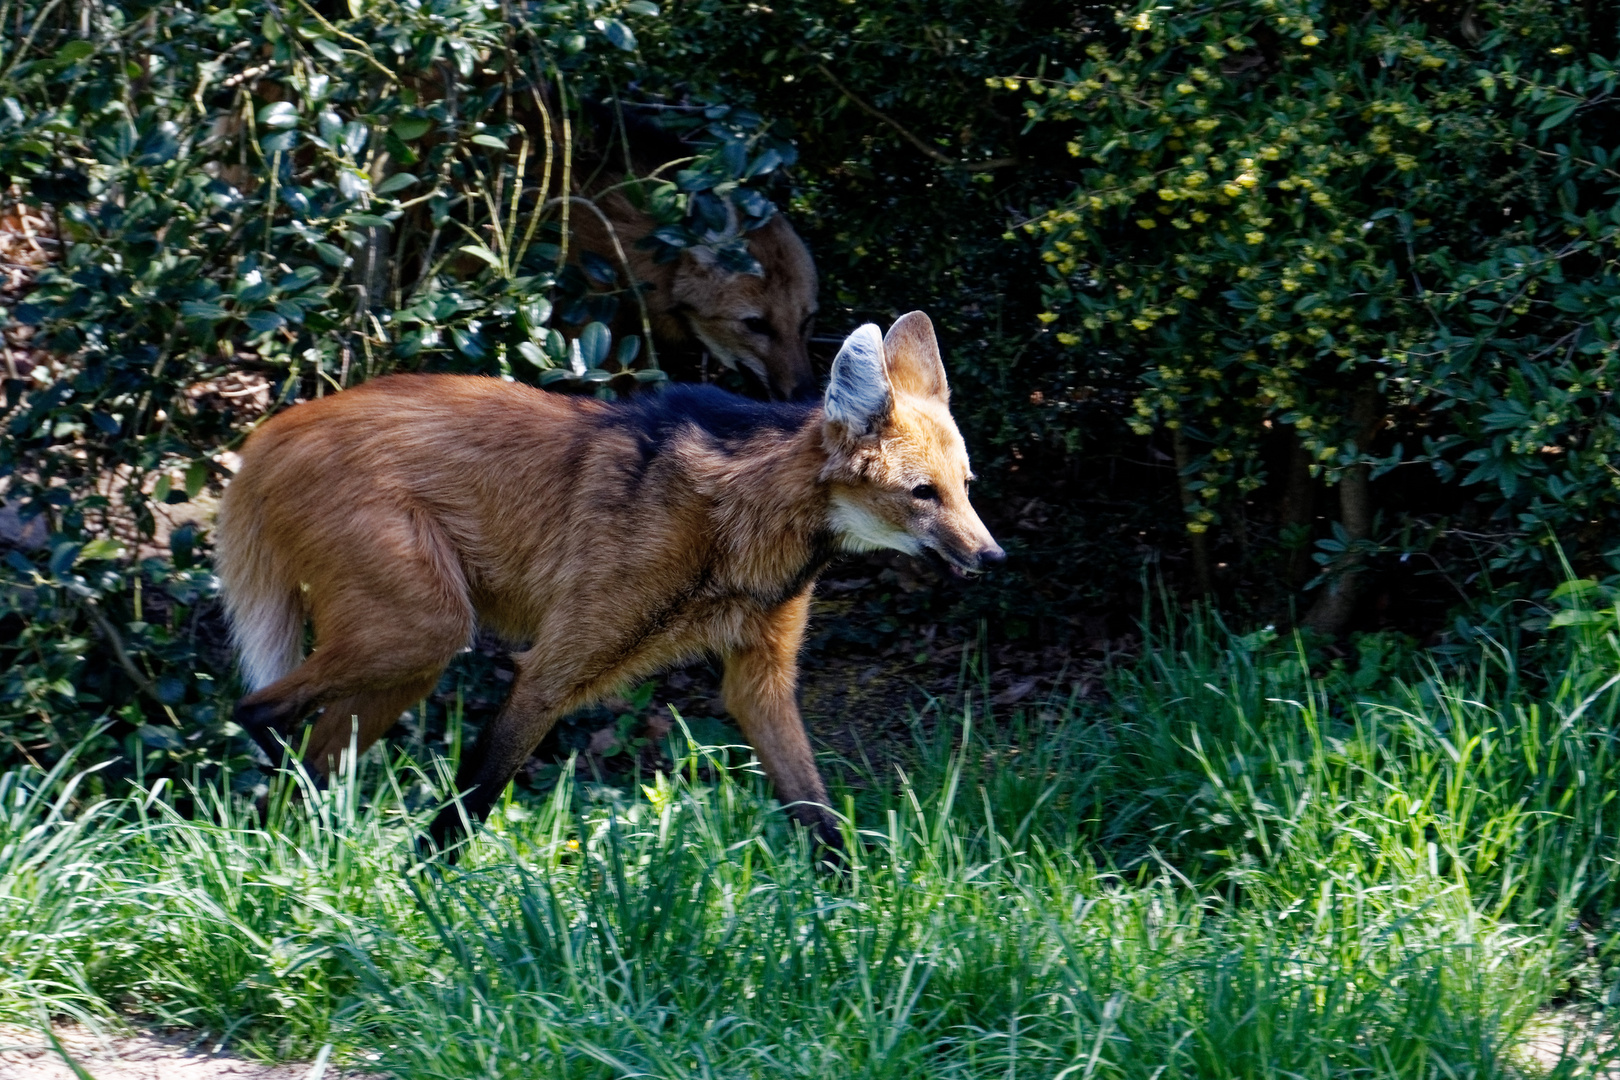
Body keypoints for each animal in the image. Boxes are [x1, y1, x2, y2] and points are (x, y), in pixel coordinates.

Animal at [212, 310, 997, 854]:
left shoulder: (759, 677)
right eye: (922, 494)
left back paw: (298, 846)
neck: (747, 519)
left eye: (964, 488)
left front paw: (861, 917)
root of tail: (272, 433)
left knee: (315, 747)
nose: (994, 557)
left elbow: (815, 809)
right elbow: (476, 794)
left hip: (408, 655)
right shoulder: (554, 665)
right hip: (420, 626)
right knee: (255, 709)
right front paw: (424, 895)